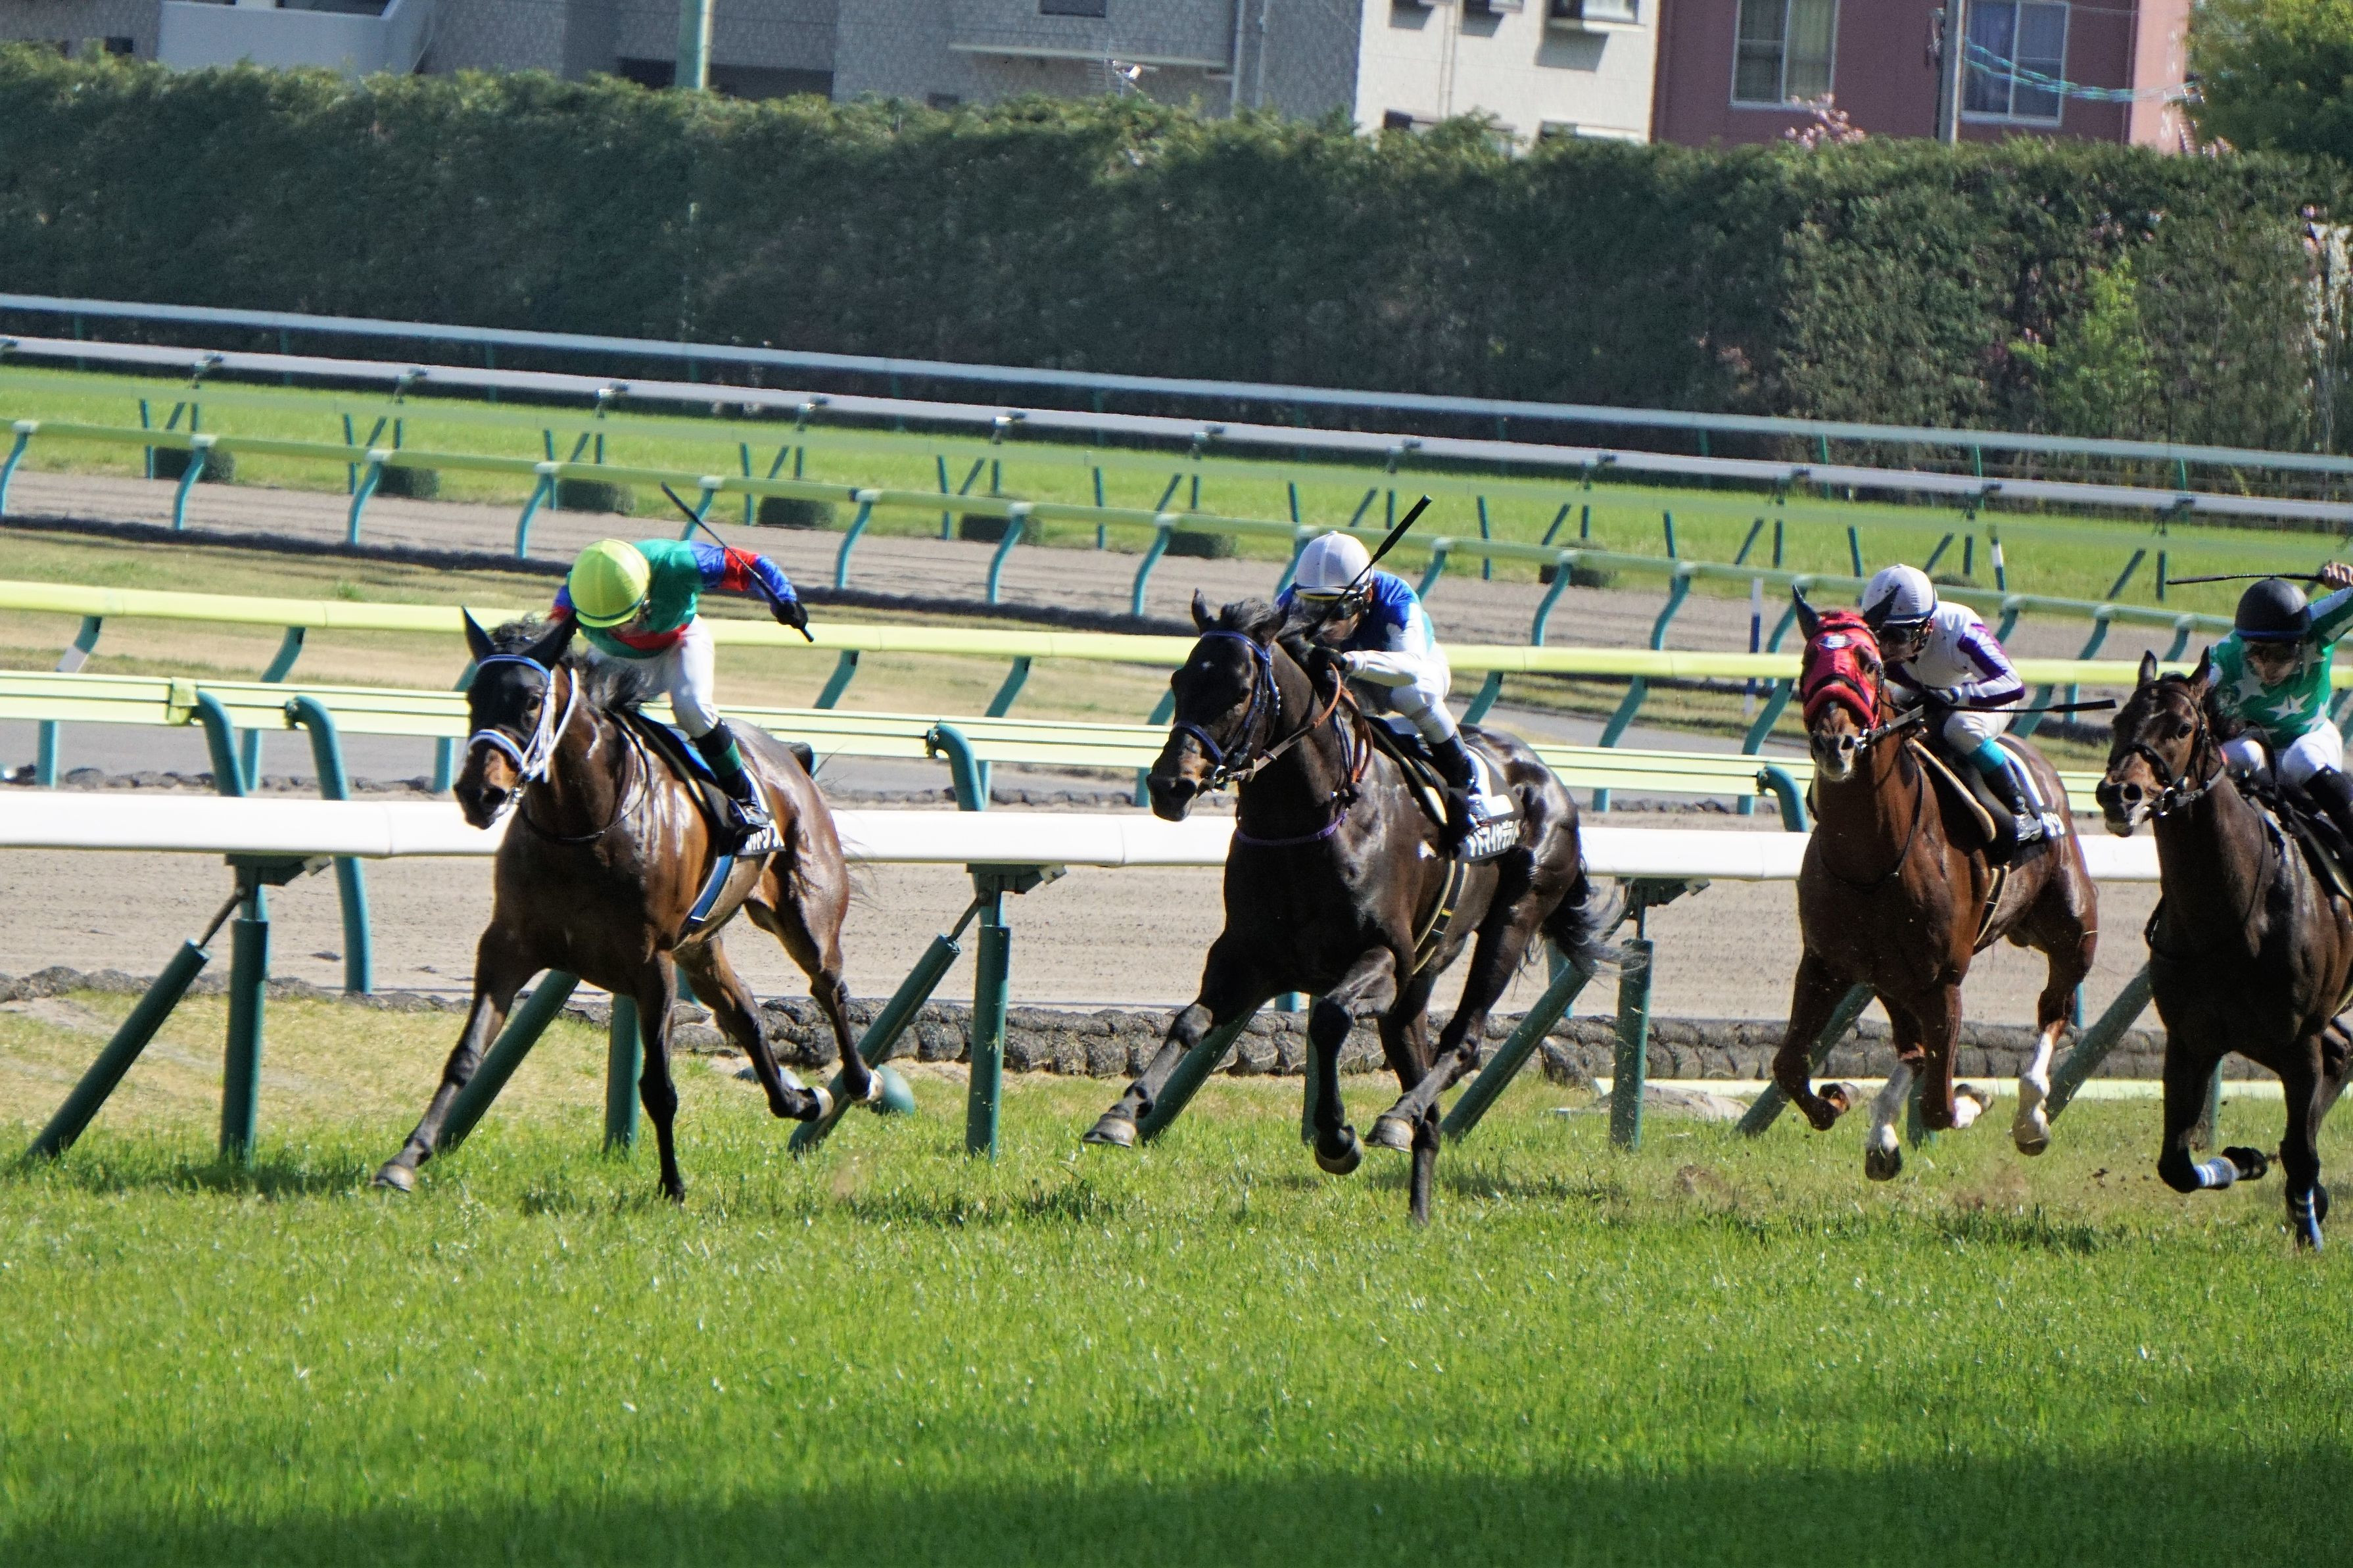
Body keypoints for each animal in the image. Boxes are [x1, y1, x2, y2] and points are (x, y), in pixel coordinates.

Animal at [371, 613, 877, 1202]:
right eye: (473, 697)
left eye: (531, 700)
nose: (480, 793)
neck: (580, 825)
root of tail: (790, 758)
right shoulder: (508, 945)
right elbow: (464, 1056)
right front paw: (406, 1157)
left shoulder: (651, 961)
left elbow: (658, 1085)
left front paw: (673, 1184)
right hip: (701, 945)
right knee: (746, 1011)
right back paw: (799, 1099)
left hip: (805, 913)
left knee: (828, 985)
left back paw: (859, 1080)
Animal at [1081, 594, 1616, 1224]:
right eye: (1179, 680)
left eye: (1240, 690)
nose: (1169, 785)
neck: (1306, 821)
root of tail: (1547, 778)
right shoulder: (1247, 956)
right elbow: (1189, 1021)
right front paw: (1121, 1113)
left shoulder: (1381, 954)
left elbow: (1330, 1017)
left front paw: (1336, 1137)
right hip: (1417, 982)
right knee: (1427, 1091)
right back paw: (1417, 1207)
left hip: (1513, 917)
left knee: (1462, 1041)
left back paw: (1395, 1116)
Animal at [1772, 597, 2098, 1178]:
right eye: (1808, 660)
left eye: (1869, 663)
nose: (1834, 743)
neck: (1873, 859)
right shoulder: (1827, 963)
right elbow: (1788, 1063)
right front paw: (1836, 1100)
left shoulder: (1942, 982)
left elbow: (1940, 1106)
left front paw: (1975, 1097)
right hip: (1889, 978)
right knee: (1911, 1048)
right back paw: (1881, 1132)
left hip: (2072, 930)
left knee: (2052, 1010)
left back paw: (2030, 1117)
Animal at [2095, 650, 2353, 1248]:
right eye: (2118, 722)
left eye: (2181, 728)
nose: (2118, 794)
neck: (2232, 913)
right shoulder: (2191, 1037)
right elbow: (2176, 1164)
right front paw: (2245, 1160)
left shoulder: (2296, 1041)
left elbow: (2301, 1153)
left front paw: (2309, 1231)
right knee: (2340, 1056)